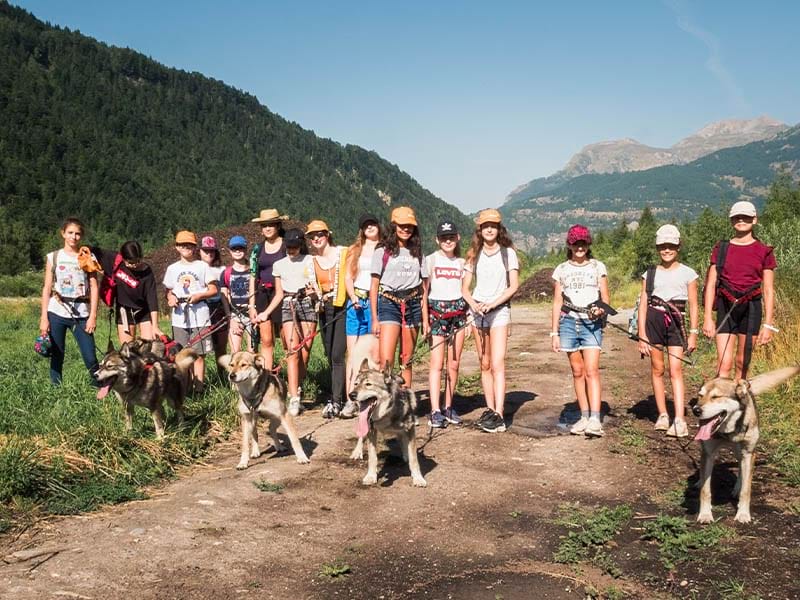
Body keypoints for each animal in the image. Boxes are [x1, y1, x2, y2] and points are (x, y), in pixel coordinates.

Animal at [348, 358, 424, 486]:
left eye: (368, 384)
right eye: (356, 384)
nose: (351, 395)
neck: (386, 414)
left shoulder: (409, 429)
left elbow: (414, 458)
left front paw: (418, 478)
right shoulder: (371, 431)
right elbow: (372, 457)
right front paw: (371, 476)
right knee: (361, 436)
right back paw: (357, 452)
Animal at [692, 364, 796, 524]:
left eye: (716, 397)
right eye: (700, 396)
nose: (696, 410)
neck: (728, 431)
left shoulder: (748, 453)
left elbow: (746, 490)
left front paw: (743, 514)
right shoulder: (709, 453)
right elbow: (705, 489)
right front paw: (704, 514)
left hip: (742, 451)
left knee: (742, 469)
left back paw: (737, 488)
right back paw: (699, 481)